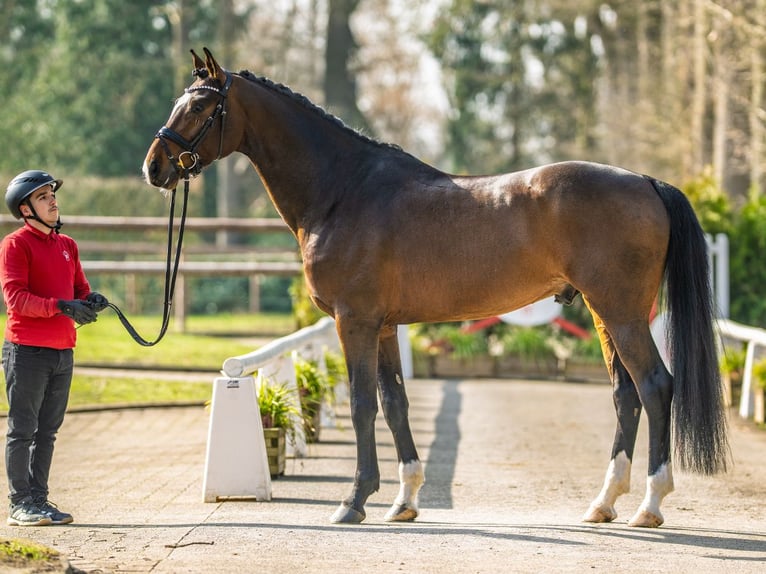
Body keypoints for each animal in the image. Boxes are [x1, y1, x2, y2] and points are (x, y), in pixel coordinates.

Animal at [143, 48, 729, 528]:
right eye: (178, 102)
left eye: (200, 107)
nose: (154, 167)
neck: (342, 191)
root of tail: (646, 182)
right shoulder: (383, 327)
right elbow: (394, 403)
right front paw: (403, 501)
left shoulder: (353, 322)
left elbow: (362, 404)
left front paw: (354, 501)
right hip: (605, 314)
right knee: (625, 395)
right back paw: (603, 504)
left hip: (623, 313)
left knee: (654, 386)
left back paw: (649, 506)